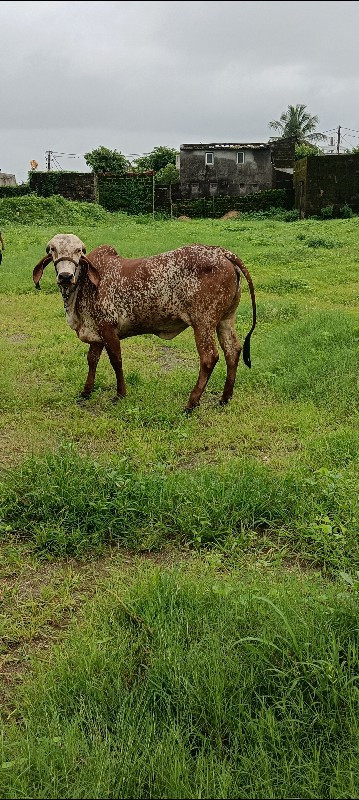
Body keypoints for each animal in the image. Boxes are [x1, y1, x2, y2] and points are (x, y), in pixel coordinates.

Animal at [33, 233, 256, 410]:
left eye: (79, 251)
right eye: (52, 249)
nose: (65, 276)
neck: (83, 286)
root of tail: (222, 252)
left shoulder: (108, 327)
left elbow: (116, 360)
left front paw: (120, 394)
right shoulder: (96, 331)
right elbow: (92, 360)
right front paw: (86, 392)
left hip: (203, 322)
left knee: (209, 357)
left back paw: (191, 403)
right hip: (225, 319)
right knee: (232, 350)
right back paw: (225, 398)